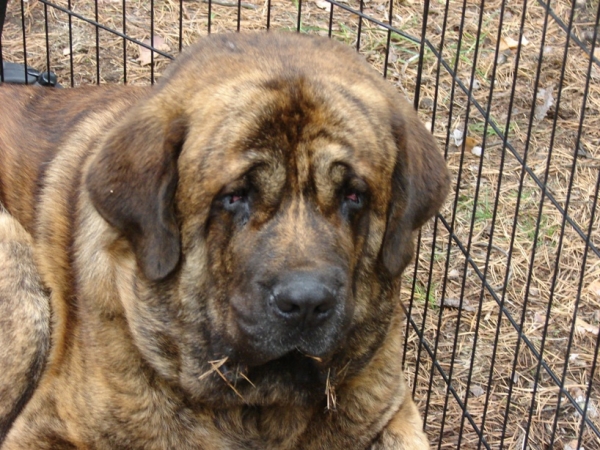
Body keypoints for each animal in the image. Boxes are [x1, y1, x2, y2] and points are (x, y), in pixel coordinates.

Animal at [0, 30, 450, 446]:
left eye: (353, 195)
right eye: (234, 196)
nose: (306, 302)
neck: (259, 410)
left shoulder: (394, 413)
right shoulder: (46, 426)